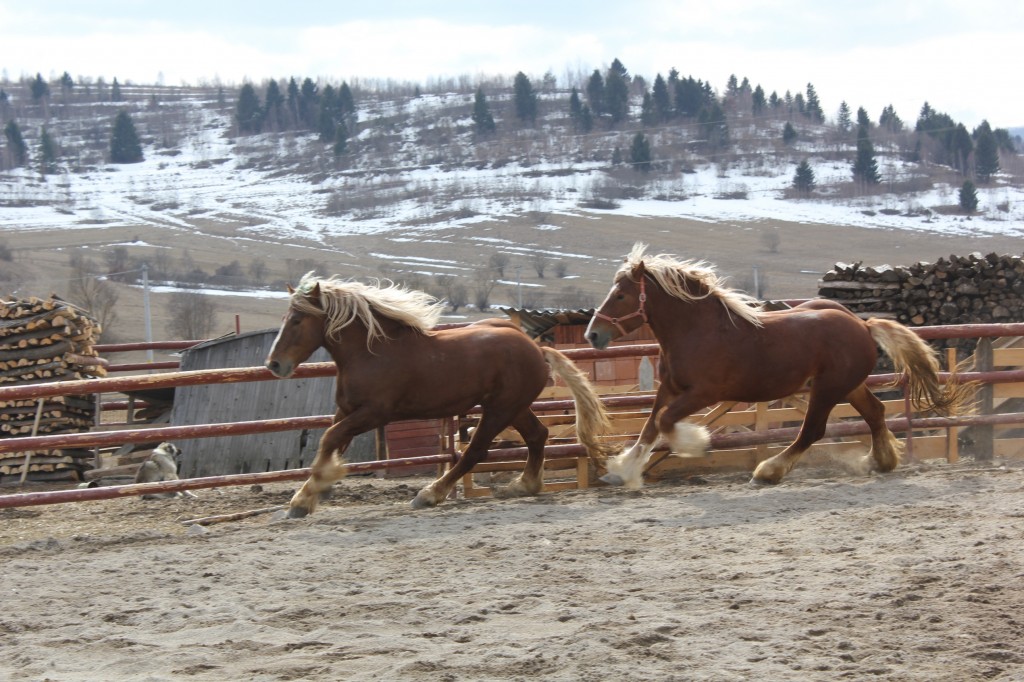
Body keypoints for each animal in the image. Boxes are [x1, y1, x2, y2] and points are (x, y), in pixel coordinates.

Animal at [268, 270, 610, 516]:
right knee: (537, 436)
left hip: (499, 409)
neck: (370, 352)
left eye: (297, 320)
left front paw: (301, 502)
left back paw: (430, 494)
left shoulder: (374, 413)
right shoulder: (347, 411)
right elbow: (334, 443)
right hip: (514, 407)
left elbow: (329, 439)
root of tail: (537, 348)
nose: (274, 364)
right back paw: (524, 485)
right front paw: (314, 492)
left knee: (476, 451)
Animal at [589, 244, 970, 489]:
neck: (699, 330)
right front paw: (621, 471)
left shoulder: (703, 393)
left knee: (812, 431)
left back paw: (767, 472)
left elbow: (665, 423)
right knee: (875, 413)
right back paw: (881, 462)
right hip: (848, 385)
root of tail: (862, 325)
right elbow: (649, 428)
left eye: (620, 295)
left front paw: (695, 445)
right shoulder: (669, 388)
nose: (593, 334)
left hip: (827, 389)